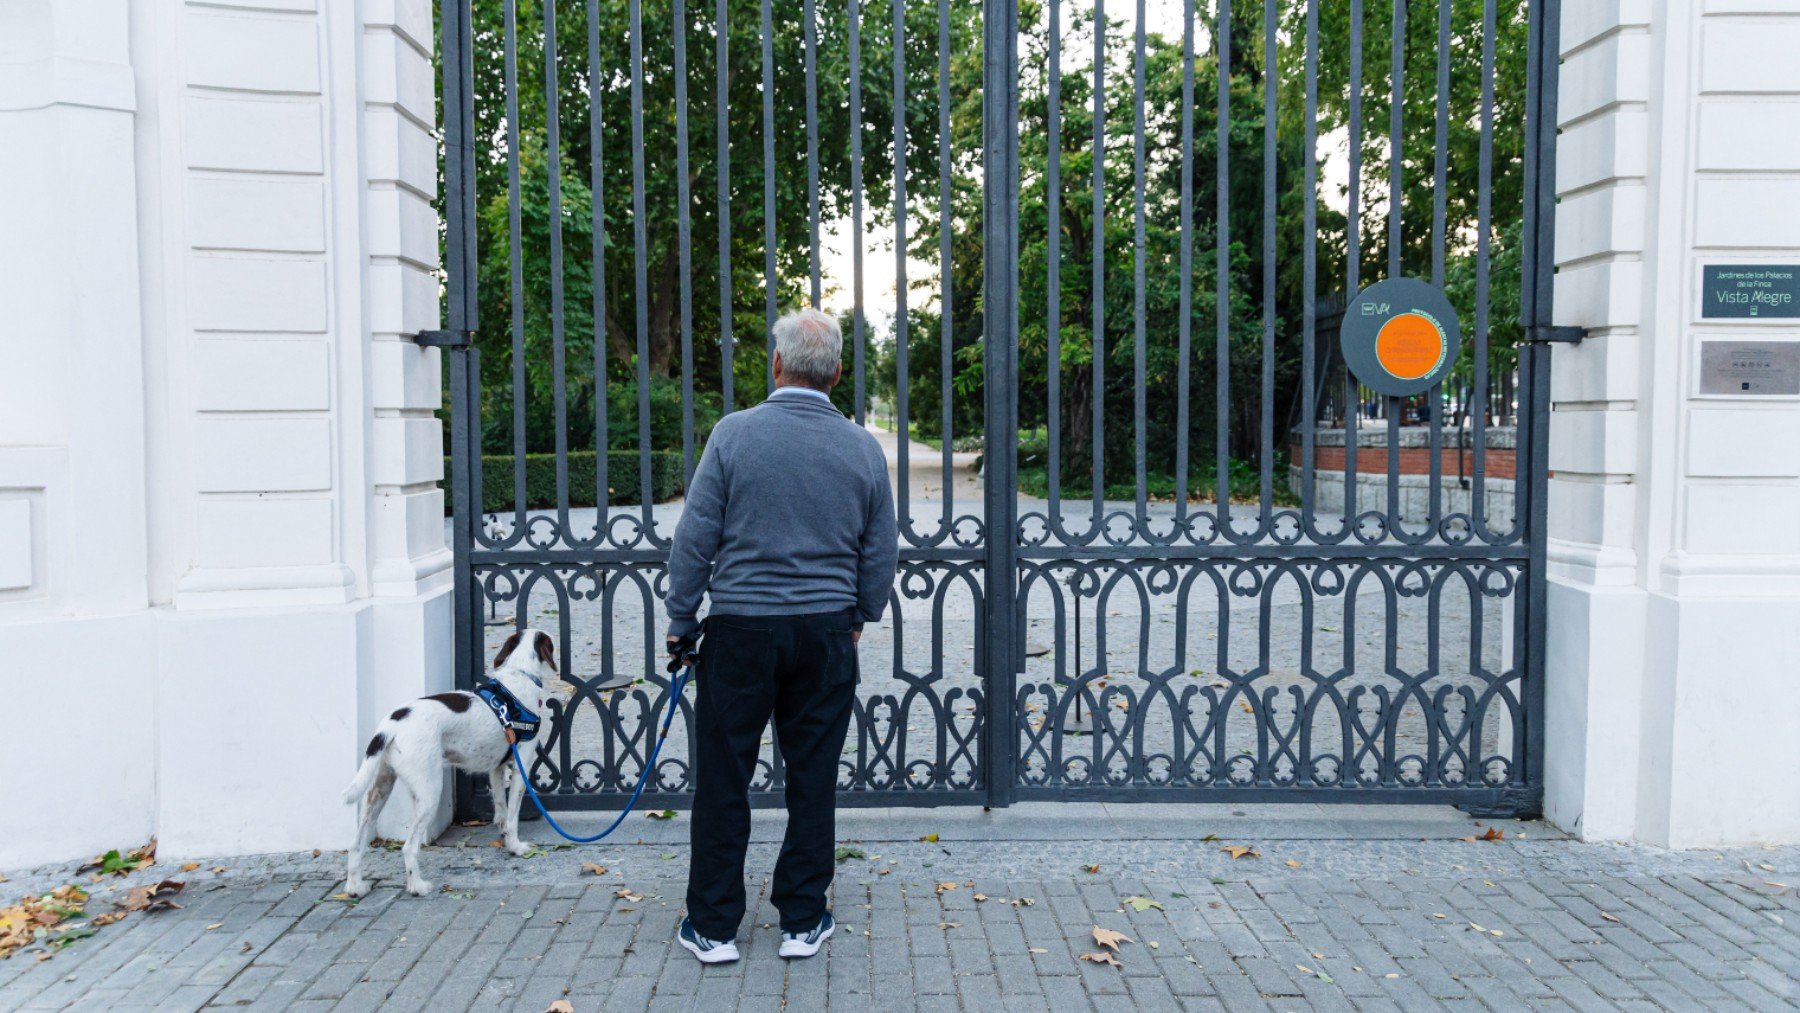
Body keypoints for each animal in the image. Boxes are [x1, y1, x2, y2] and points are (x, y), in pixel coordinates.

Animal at [340, 629, 554, 899]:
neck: (519, 673)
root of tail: (391, 725)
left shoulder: (496, 768)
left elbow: (501, 810)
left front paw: (504, 838)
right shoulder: (520, 766)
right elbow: (513, 814)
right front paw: (515, 847)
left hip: (379, 790)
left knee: (356, 844)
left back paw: (355, 886)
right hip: (429, 792)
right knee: (409, 847)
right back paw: (417, 886)